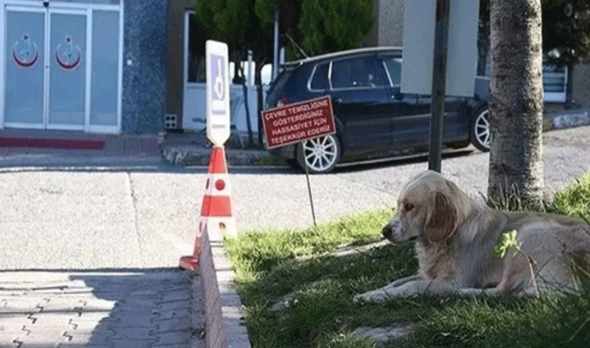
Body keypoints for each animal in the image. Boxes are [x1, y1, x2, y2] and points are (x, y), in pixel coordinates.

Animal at [354, 170, 590, 304]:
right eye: (398, 205)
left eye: (410, 207)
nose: (384, 231)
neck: (444, 240)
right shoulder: (426, 274)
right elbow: (397, 282)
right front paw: (371, 294)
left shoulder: (451, 281)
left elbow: (411, 286)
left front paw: (377, 297)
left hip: (528, 234)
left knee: (504, 291)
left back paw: (464, 294)